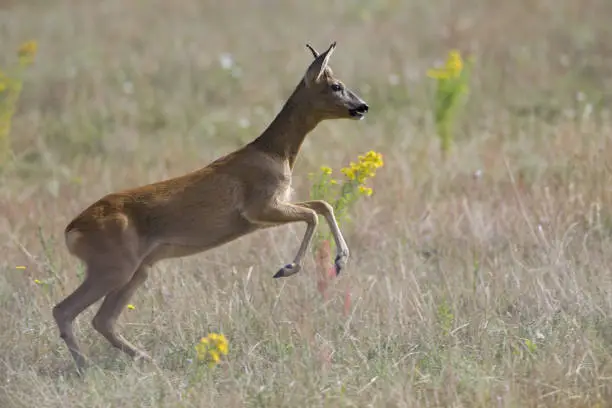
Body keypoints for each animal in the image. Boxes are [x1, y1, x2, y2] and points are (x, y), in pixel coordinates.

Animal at [53, 42, 368, 372]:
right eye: (335, 85)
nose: (362, 107)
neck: (272, 152)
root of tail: (72, 229)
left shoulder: (271, 210)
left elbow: (321, 205)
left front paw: (339, 261)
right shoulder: (261, 209)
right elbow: (314, 212)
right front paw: (289, 268)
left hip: (137, 271)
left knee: (102, 320)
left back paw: (145, 359)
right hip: (114, 270)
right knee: (65, 310)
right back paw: (86, 367)